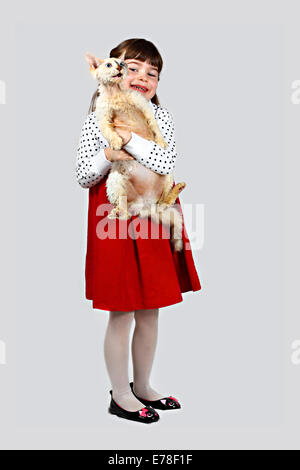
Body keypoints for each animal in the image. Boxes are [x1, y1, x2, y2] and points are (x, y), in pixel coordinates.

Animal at [85, 51, 186, 252]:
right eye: (109, 64)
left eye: (122, 63)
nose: (121, 65)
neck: (116, 93)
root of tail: (144, 207)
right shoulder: (103, 117)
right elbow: (108, 131)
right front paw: (116, 142)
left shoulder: (143, 107)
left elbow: (154, 126)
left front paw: (161, 142)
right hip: (115, 181)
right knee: (124, 211)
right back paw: (116, 213)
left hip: (168, 178)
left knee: (165, 202)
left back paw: (177, 189)